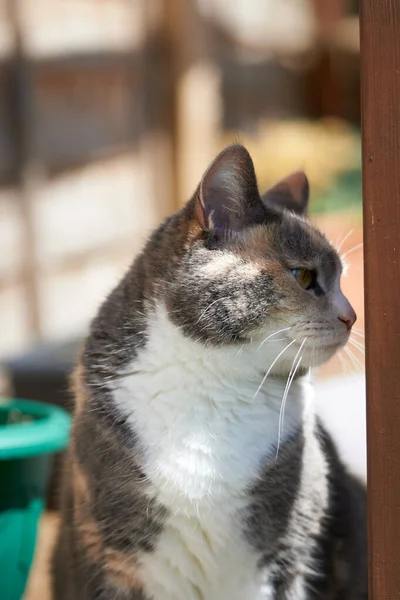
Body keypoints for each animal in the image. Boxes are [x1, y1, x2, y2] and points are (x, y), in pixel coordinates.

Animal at [51, 143, 368, 596]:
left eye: (342, 278)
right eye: (304, 275)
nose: (352, 316)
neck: (216, 388)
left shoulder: (287, 554)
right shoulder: (105, 553)